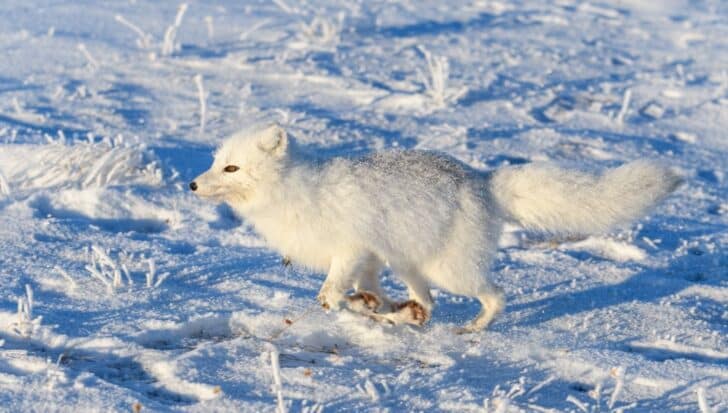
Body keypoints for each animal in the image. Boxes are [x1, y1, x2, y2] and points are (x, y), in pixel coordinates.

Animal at [191, 124, 680, 332]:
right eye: (217, 162)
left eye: (232, 168)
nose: (193, 184)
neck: (296, 192)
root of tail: (481, 180)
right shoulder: (372, 258)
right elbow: (365, 294)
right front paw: (381, 308)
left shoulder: (350, 249)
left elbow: (331, 296)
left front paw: (367, 308)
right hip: (410, 264)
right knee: (428, 300)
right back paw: (413, 315)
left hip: (452, 271)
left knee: (496, 294)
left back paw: (474, 329)